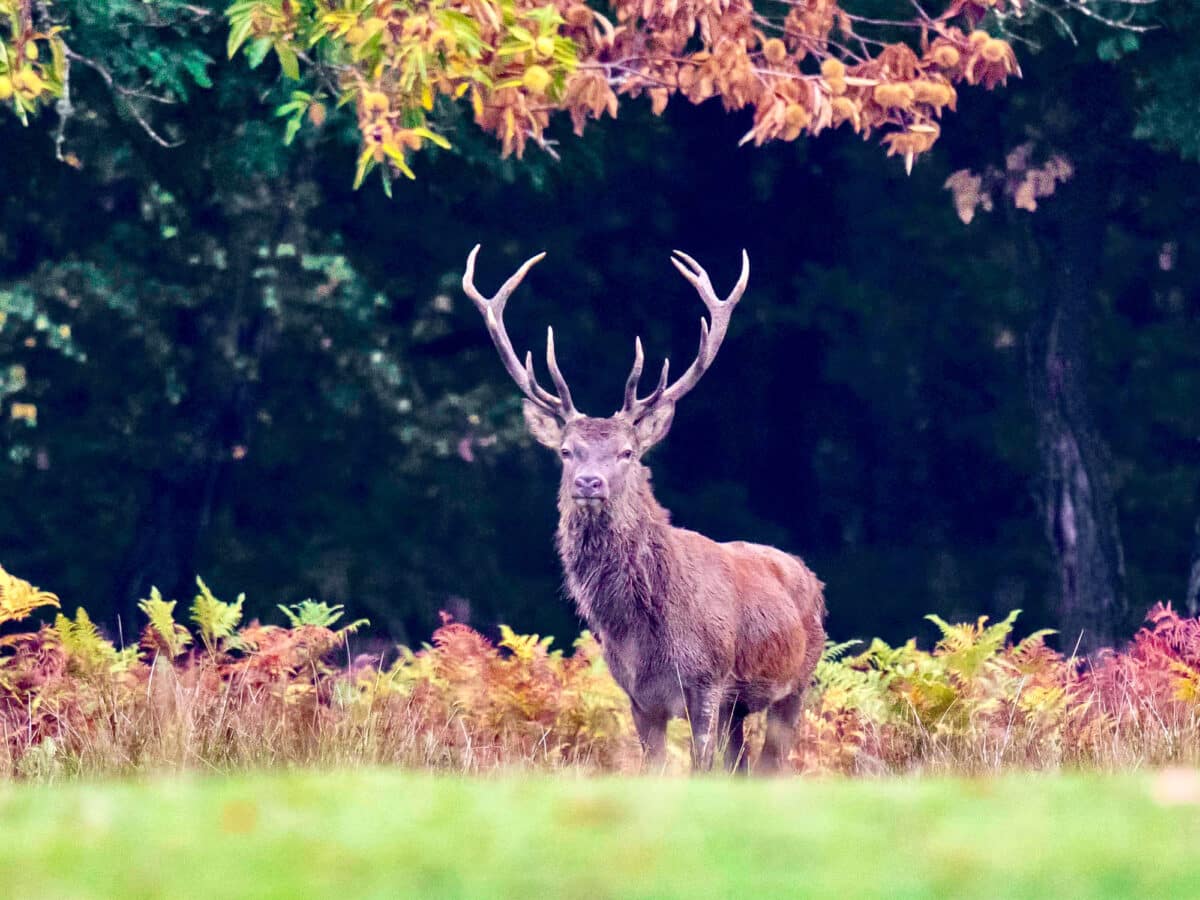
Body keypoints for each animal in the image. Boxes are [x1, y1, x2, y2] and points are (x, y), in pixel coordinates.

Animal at [463, 245, 826, 773]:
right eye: (567, 451)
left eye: (627, 452)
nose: (588, 482)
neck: (643, 632)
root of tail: (809, 576)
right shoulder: (638, 696)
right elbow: (653, 768)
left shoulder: (707, 681)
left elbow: (700, 768)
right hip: (740, 707)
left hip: (797, 681)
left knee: (772, 763)